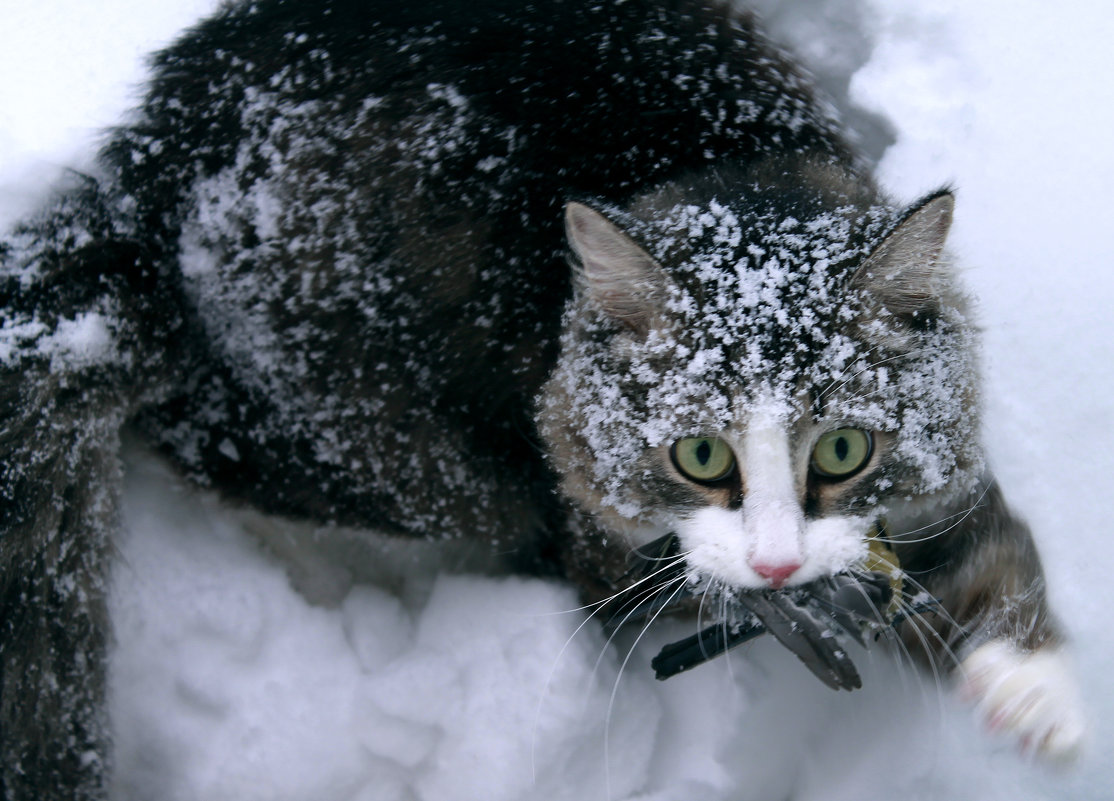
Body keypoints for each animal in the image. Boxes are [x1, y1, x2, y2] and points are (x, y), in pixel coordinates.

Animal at [0, 0, 1087, 797]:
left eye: (842, 452)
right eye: (699, 456)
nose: (778, 562)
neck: (724, 163)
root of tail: (139, 186)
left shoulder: (929, 484)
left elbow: (985, 551)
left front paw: (1032, 691)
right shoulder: (601, 548)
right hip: (394, 447)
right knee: (220, 454)